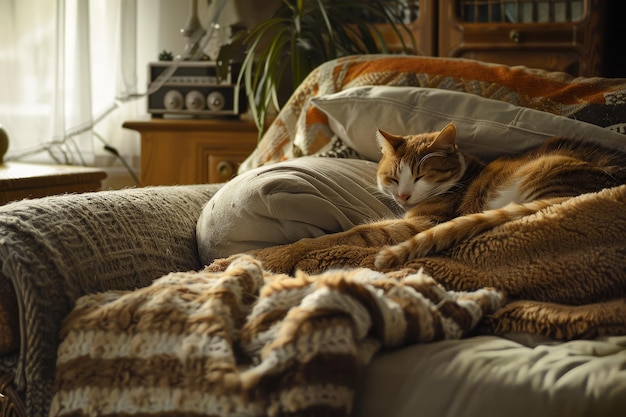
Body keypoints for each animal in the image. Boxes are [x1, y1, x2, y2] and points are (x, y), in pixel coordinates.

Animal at [372, 122, 624, 268]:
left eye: (420, 177)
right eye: (393, 178)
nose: (404, 196)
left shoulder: (425, 221)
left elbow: (371, 232)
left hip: (546, 167)